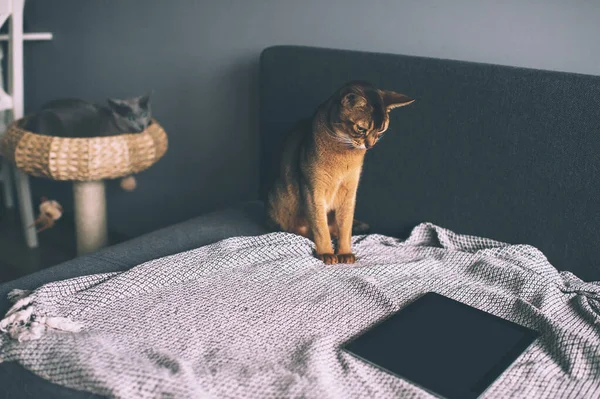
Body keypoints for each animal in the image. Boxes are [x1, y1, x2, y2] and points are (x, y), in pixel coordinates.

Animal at [266, 80, 412, 266]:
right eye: (361, 129)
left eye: (381, 130)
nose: (370, 145)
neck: (344, 155)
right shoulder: (313, 190)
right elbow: (320, 227)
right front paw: (326, 252)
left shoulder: (350, 192)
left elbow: (345, 226)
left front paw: (344, 252)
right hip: (278, 198)